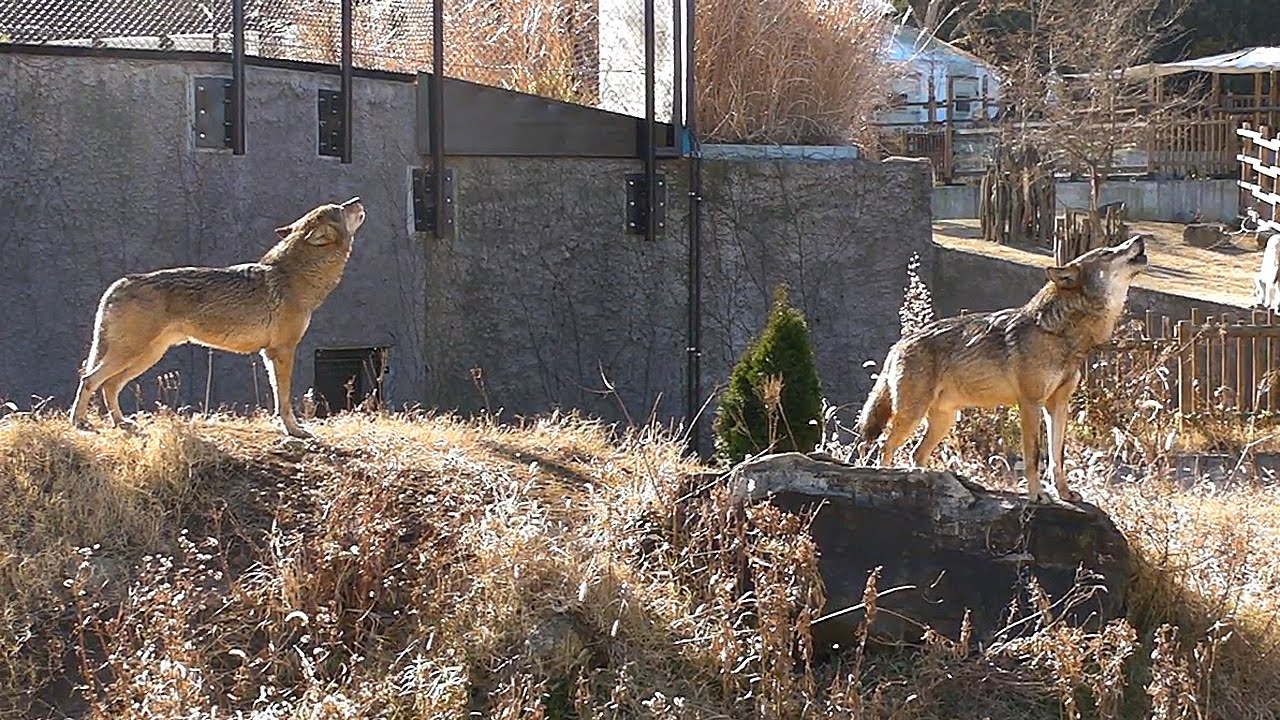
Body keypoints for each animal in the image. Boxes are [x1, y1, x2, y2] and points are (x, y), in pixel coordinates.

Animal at [69, 197, 366, 438]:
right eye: (341, 208)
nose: (357, 199)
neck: (297, 276)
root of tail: (118, 283)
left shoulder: (269, 354)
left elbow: (276, 397)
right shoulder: (284, 350)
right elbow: (283, 398)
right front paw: (294, 430)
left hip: (145, 358)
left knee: (108, 385)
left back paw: (122, 423)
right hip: (132, 354)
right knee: (90, 380)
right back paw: (80, 422)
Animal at [857, 234, 1148, 503]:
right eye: (1108, 252)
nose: (1139, 238)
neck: (1059, 333)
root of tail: (898, 344)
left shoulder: (1058, 405)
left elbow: (1057, 456)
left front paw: (1064, 493)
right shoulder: (1030, 403)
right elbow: (1033, 455)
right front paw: (1037, 494)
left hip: (943, 421)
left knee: (916, 453)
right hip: (911, 415)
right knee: (884, 446)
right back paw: (891, 482)